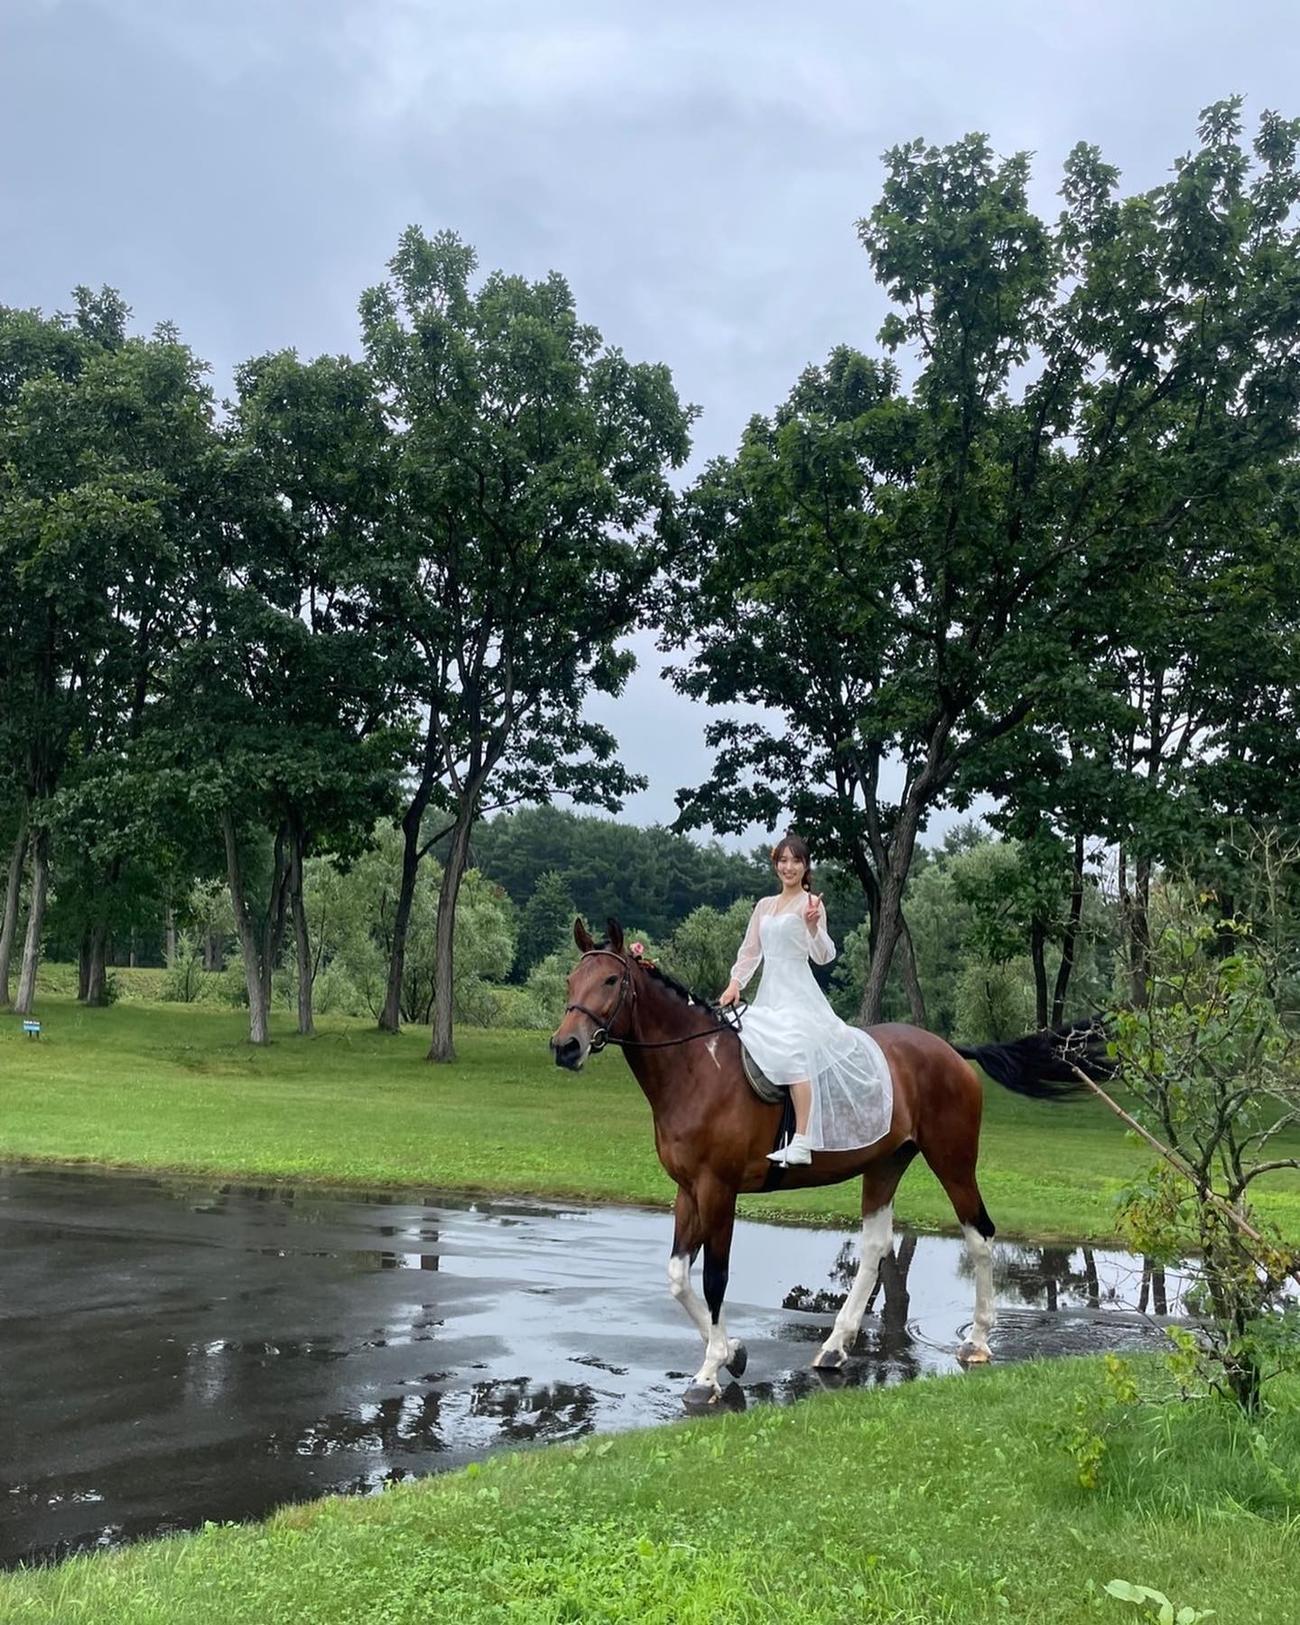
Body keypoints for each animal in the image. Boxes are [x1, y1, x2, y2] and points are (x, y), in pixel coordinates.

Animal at [549, 915, 1103, 1406]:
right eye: (571, 980)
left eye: (612, 979)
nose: (565, 1046)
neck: (698, 1070)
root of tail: (948, 1050)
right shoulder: (689, 1191)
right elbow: (678, 1279)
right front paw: (733, 1352)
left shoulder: (718, 1190)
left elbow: (714, 1279)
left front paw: (708, 1375)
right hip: (885, 1164)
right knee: (877, 1245)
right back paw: (836, 1347)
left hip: (953, 1159)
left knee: (979, 1234)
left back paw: (979, 1342)